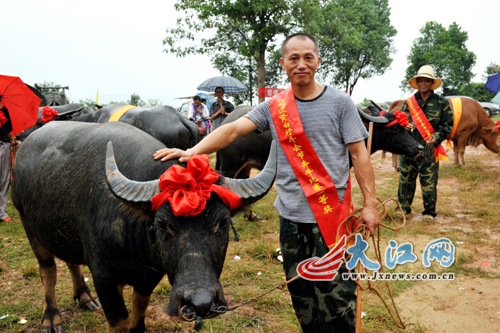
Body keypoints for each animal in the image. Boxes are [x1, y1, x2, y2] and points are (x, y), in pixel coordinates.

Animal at [10, 121, 278, 332]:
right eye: (162, 226)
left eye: (222, 223)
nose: (200, 303)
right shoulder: (104, 278)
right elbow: (120, 323)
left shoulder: (149, 275)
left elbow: (138, 315)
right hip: (28, 225)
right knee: (48, 271)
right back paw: (51, 318)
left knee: (70, 259)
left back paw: (85, 297)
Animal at [217, 105, 424, 219]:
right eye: (395, 129)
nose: (419, 148)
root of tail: (225, 123)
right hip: (230, 166)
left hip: (245, 167)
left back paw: (251, 216)